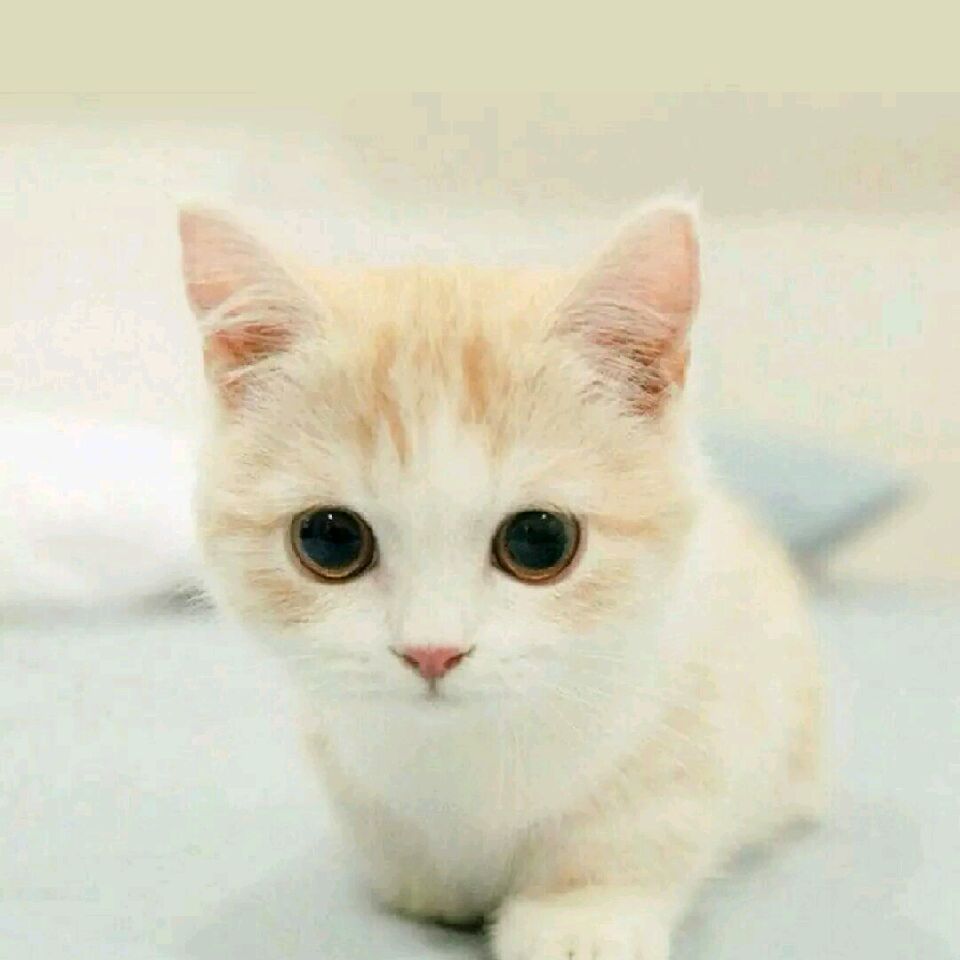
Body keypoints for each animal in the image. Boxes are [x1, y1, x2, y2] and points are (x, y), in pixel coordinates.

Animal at [179, 199, 822, 960]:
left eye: (538, 540)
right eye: (329, 539)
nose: (432, 652)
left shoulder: (696, 695)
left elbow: (638, 827)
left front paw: (580, 917)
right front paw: (430, 888)